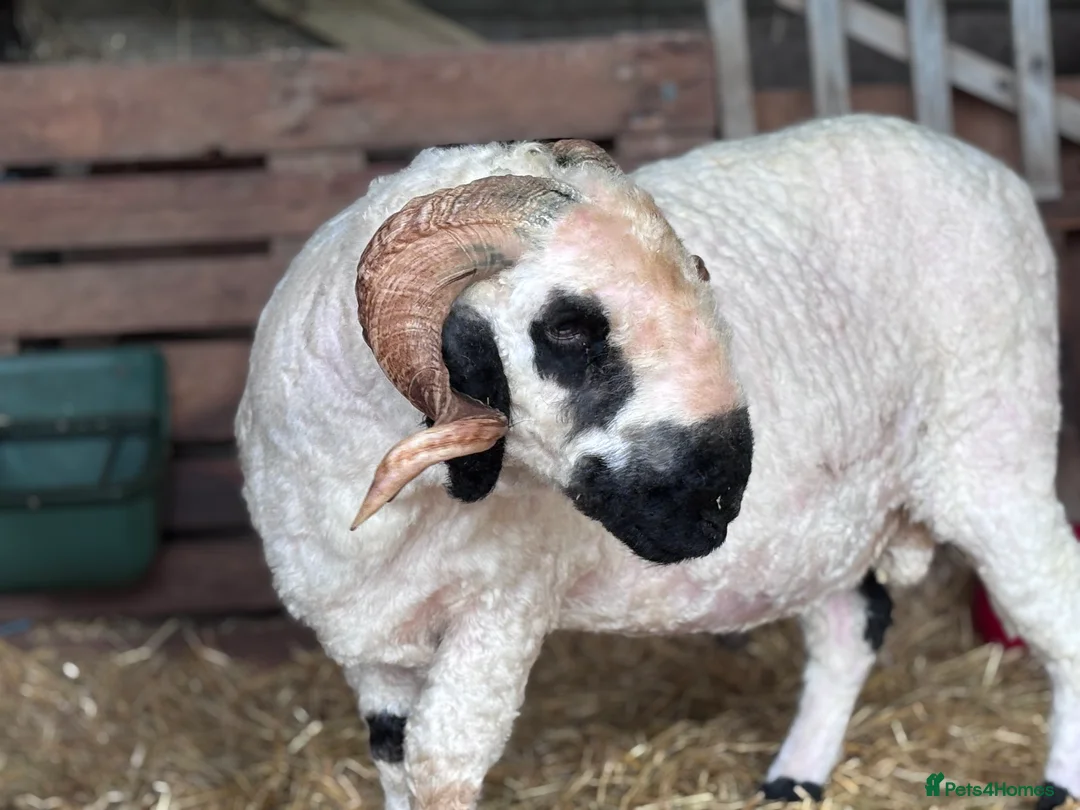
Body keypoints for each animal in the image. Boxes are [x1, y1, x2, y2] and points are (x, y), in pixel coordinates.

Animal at [234, 113, 1080, 810]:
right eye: (567, 328)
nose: (720, 495)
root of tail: (991, 169)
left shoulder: (501, 606)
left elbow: (440, 768)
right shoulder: (373, 649)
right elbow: (394, 765)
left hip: (990, 446)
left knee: (1057, 609)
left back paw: (1057, 787)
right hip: (831, 516)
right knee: (852, 624)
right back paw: (793, 781)